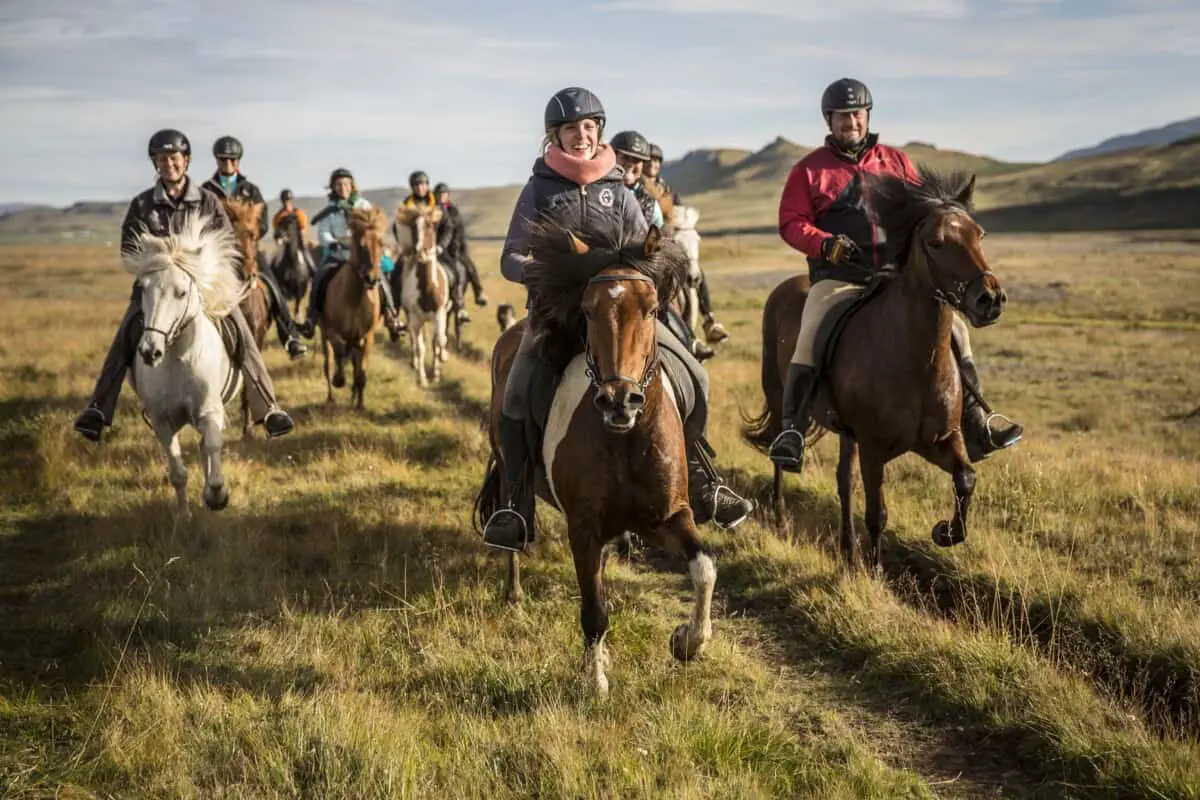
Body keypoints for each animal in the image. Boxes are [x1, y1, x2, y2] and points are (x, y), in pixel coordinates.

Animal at [124, 211, 248, 520]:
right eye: (143, 289)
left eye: (181, 293)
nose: (150, 351)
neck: (178, 361)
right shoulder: (161, 422)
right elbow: (177, 471)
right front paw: (183, 516)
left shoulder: (210, 412)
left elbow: (213, 448)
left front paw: (217, 496)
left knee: (207, 448)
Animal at [319, 206, 384, 410]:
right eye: (361, 245)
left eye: (380, 243)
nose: (372, 279)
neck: (354, 298)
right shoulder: (332, 331)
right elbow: (339, 352)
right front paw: (339, 379)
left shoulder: (367, 337)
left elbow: (361, 371)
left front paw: (360, 405)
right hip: (324, 335)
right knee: (329, 362)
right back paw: (331, 395)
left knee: (355, 364)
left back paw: (354, 395)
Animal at [393, 205, 451, 388]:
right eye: (413, 228)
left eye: (430, 226)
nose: (420, 252)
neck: (427, 288)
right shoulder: (415, 319)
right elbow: (420, 348)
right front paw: (423, 379)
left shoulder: (439, 314)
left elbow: (440, 340)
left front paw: (439, 368)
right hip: (412, 317)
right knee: (415, 342)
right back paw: (414, 364)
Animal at [472, 220, 715, 695]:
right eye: (586, 311)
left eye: (652, 309)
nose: (619, 400)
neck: (624, 440)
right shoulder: (582, 528)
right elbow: (594, 609)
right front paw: (596, 680)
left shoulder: (667, 517)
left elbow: (703, 569)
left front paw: (687, 642)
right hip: (509, 470)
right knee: (512, 526)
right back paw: (515, 595)